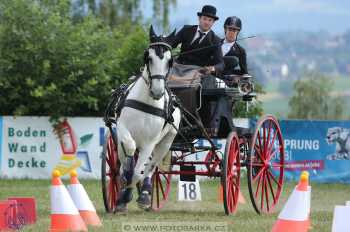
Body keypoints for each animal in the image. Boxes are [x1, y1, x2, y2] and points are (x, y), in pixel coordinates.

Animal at [115, 25, 180, 212]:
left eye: (170, 61)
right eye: (148, 57)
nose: (157, 92)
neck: (146, 102)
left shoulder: (151, 142)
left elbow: (139, 172)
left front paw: (132, 196)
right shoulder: (121, 128)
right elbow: (129, 149)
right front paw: (123, 191)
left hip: (165, 143)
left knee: (151, 167)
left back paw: (144, 194)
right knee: (124, 161)